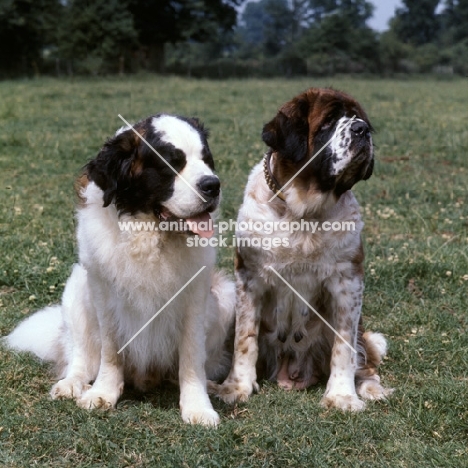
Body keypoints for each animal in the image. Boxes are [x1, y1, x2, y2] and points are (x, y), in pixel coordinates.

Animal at [5, 112, 236, 424]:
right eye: (171, 164)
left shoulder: (195, 297)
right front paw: (103, 392)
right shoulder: (103, 294)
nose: (212, 185)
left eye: (206, 160)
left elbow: (191, 356)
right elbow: (110, 348)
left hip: (225, 296)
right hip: (77, 287)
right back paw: (71, 383)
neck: (149, 235)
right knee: (80, 357)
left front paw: (197, 406)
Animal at [214, 87, 394, 410]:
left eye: (359, 119)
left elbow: (344, 345)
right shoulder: (250, 279)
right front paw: (236, 388)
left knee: (363, 357)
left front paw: (342, 396)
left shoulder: (348, 281)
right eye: (328, 122)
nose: (361, 130)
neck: (303, 212)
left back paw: (371, 387)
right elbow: (244, 339)